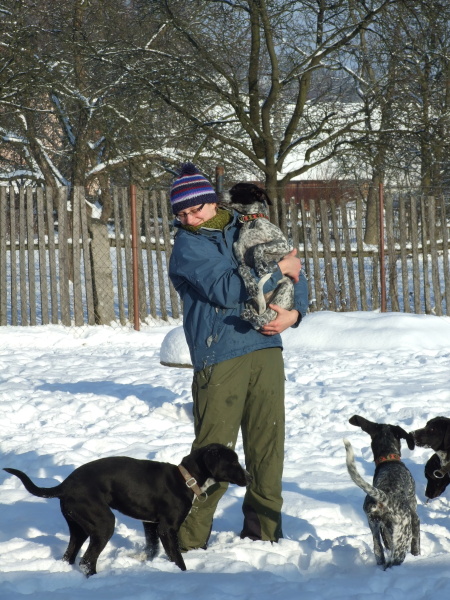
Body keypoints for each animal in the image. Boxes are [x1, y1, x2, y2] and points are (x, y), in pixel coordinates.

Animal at [4, 443, 251, 576]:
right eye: (233, 461)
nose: (250, 477)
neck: (185, 478)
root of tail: (65, 485)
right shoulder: (167, 528)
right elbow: (177, 558)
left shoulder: (151, 524)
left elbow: (152, 549)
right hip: (103, 523)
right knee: (87, 560)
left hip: (79, 526)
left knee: (70, 556)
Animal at [227, 182, 294, 330]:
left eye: (236, 189)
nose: (217, 193)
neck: (250, 221)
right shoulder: (240, 257)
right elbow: (242, 269)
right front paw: (251, 285)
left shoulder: (283, 243)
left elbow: (258, 247)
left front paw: (260, 266)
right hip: (250, 302)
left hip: (285, 290)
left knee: (263, 320)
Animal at [343, 415, 420, 568]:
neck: (388, 459)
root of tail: (385, 497)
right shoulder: (414, 513)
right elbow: (416, 543)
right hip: (402, 537)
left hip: (373, 526)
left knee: (379, 551)